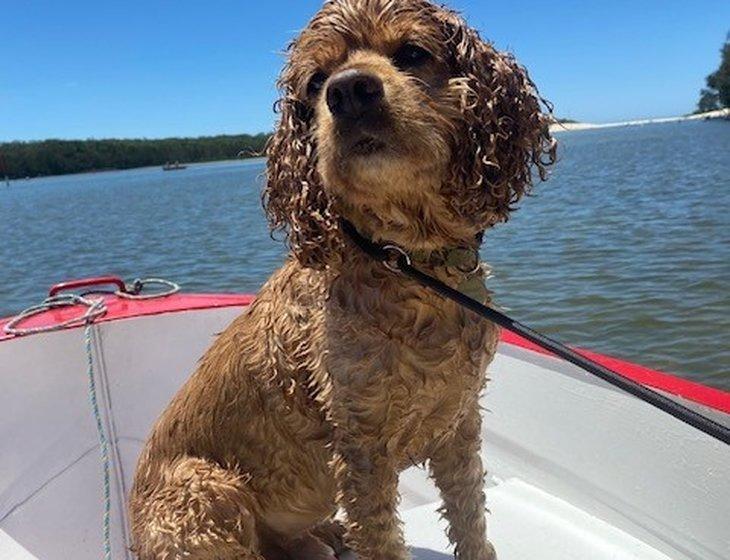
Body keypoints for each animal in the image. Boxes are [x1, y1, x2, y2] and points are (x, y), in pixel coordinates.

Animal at [129, 1, 552, 560]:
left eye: (412, 53)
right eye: (315, 81)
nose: (349, 91)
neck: (405, 259)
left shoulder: (460, 421)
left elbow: (469, 516)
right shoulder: (361, 448)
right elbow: (382, 539)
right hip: (204, 491)